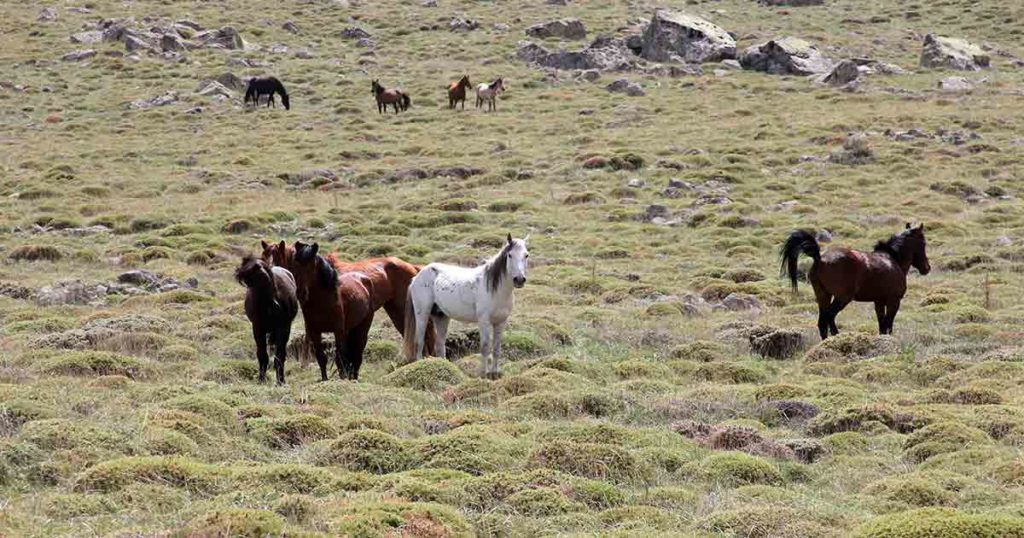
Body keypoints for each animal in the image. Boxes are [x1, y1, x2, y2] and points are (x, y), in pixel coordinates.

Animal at [234, 255, 298, 385]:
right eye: (248, 281)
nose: (276, 305)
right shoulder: (258, 328)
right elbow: (262, 355)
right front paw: (261, 379)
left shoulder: (283, 328)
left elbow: (280, 356)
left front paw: (280, 381)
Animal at [260, 240, 435, 378]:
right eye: (262, 258)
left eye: (277, 259)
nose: (269, 278)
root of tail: (413, 267)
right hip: (394, 310)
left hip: (402, 310)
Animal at [403, 234, 529, 379]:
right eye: (510, 255)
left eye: (526, 255)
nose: (519, 279)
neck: (496, 289)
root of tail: (416, 277)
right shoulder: (484, 321)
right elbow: (485, 347)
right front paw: (483, 374)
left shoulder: (501, 322)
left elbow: (497, 348)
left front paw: (494, 373)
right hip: (422, 314)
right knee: (419, 341)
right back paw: (419, 364)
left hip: (441, 316)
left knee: (439, 345)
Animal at [780, 223, 930, 340]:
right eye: (923, 243)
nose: (927, 268)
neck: (893, 261)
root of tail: (819, 259)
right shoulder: (894, 301)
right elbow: (888, 324)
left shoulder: (879, 301)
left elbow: (882, 325)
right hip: (842, 298)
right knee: (830, 317)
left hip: (823, 295)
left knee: (822, 322)